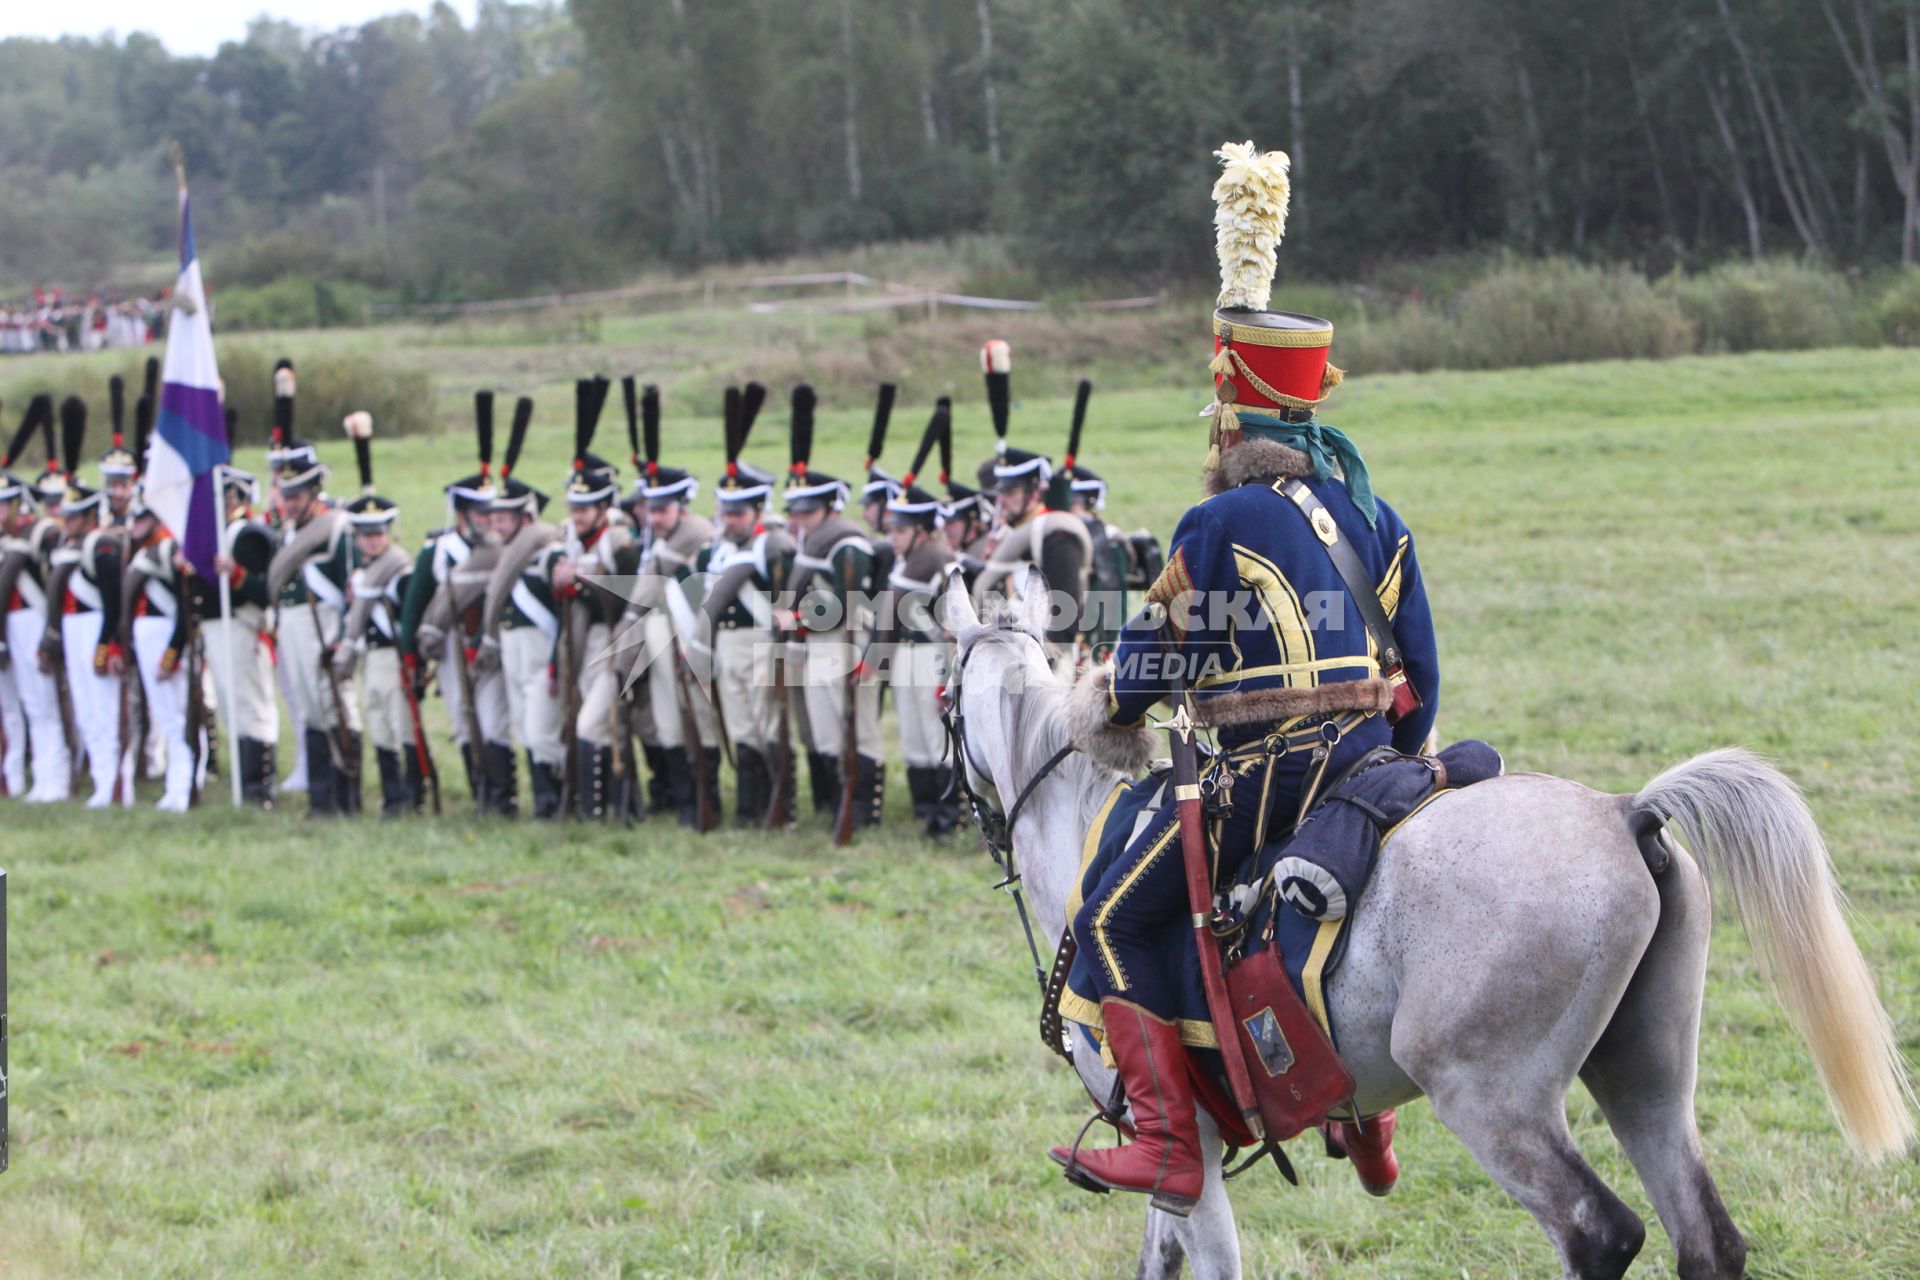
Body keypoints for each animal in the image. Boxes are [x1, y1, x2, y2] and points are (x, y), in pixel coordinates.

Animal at [936, 579, 1912, 1280]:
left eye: (941, 691)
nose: (962, 806)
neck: (1086, 830)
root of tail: (1625, 812)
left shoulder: (1188, 1150)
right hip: (1646, 1075)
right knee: (1706, 1239)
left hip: (1489, 1098)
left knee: (1600, 1234)